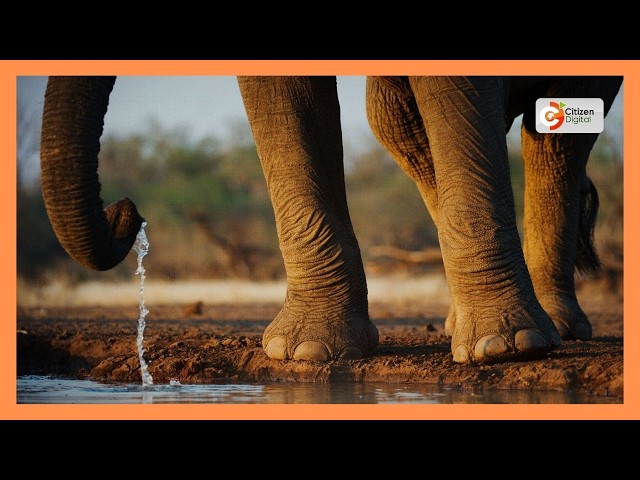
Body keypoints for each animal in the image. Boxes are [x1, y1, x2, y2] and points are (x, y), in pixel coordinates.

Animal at [39, 75, 622, 364]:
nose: (127, 210)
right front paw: (306, 354)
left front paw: (503, 351)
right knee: (397, 117)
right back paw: (465, 325)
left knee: (558, 137)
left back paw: (545, 331)